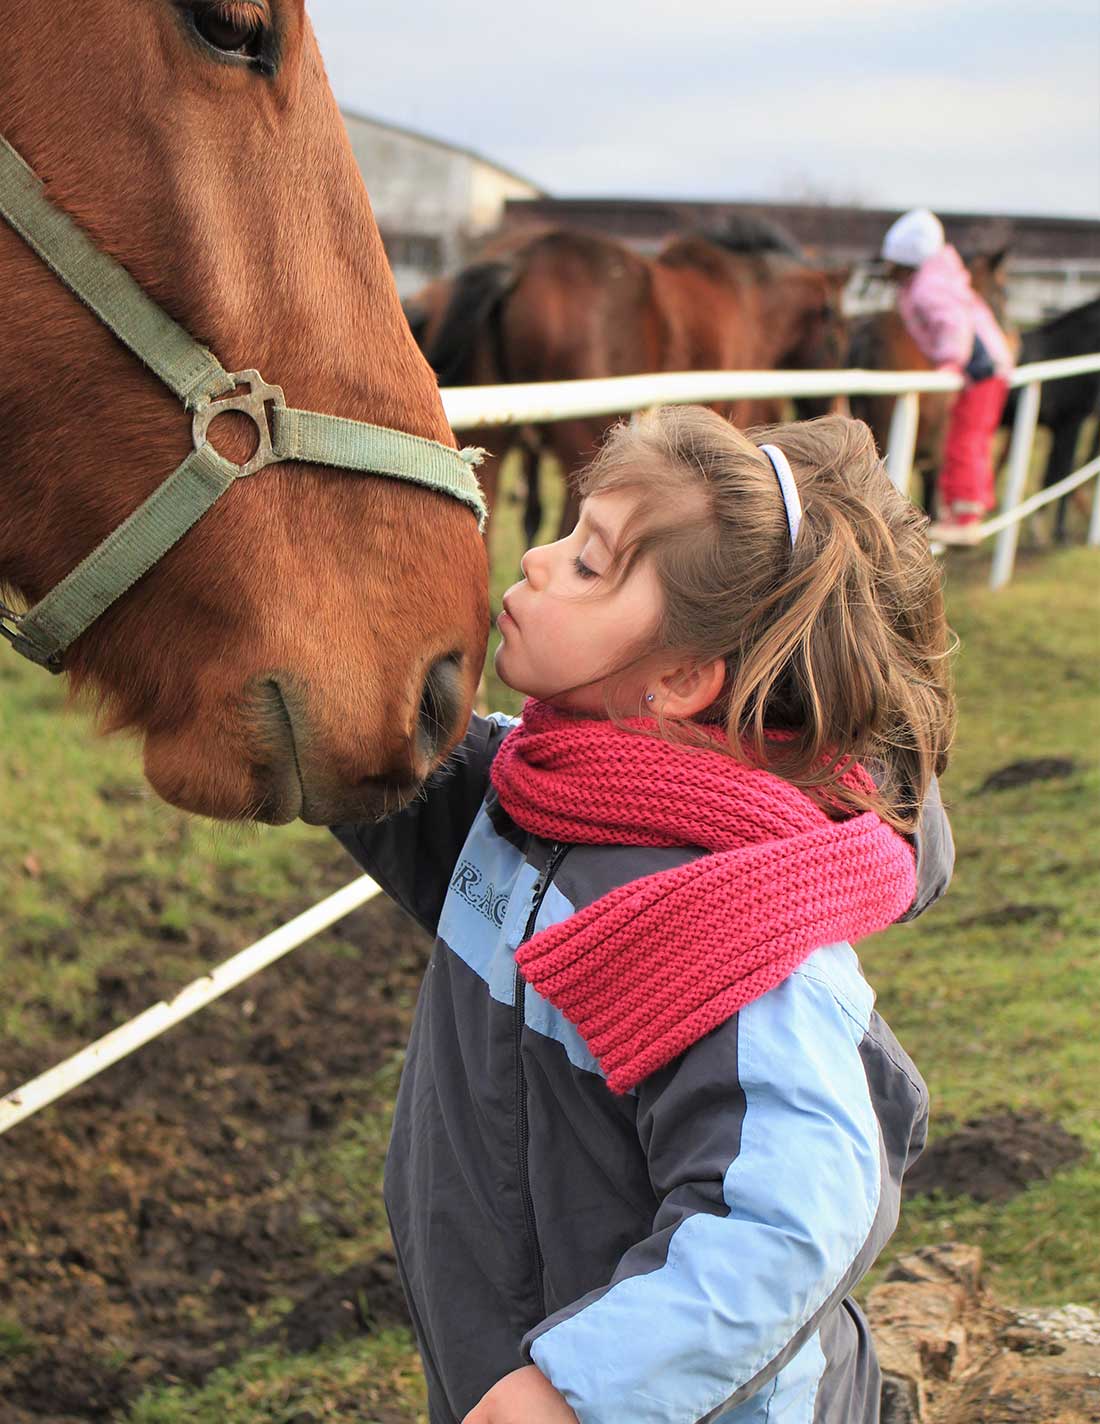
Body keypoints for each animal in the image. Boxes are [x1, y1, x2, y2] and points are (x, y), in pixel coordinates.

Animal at [416, 216, 849, 538]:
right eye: (837, 334)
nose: (837, 409)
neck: (750, 300)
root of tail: (519, 260)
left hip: (497, 440)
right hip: (583, 444)